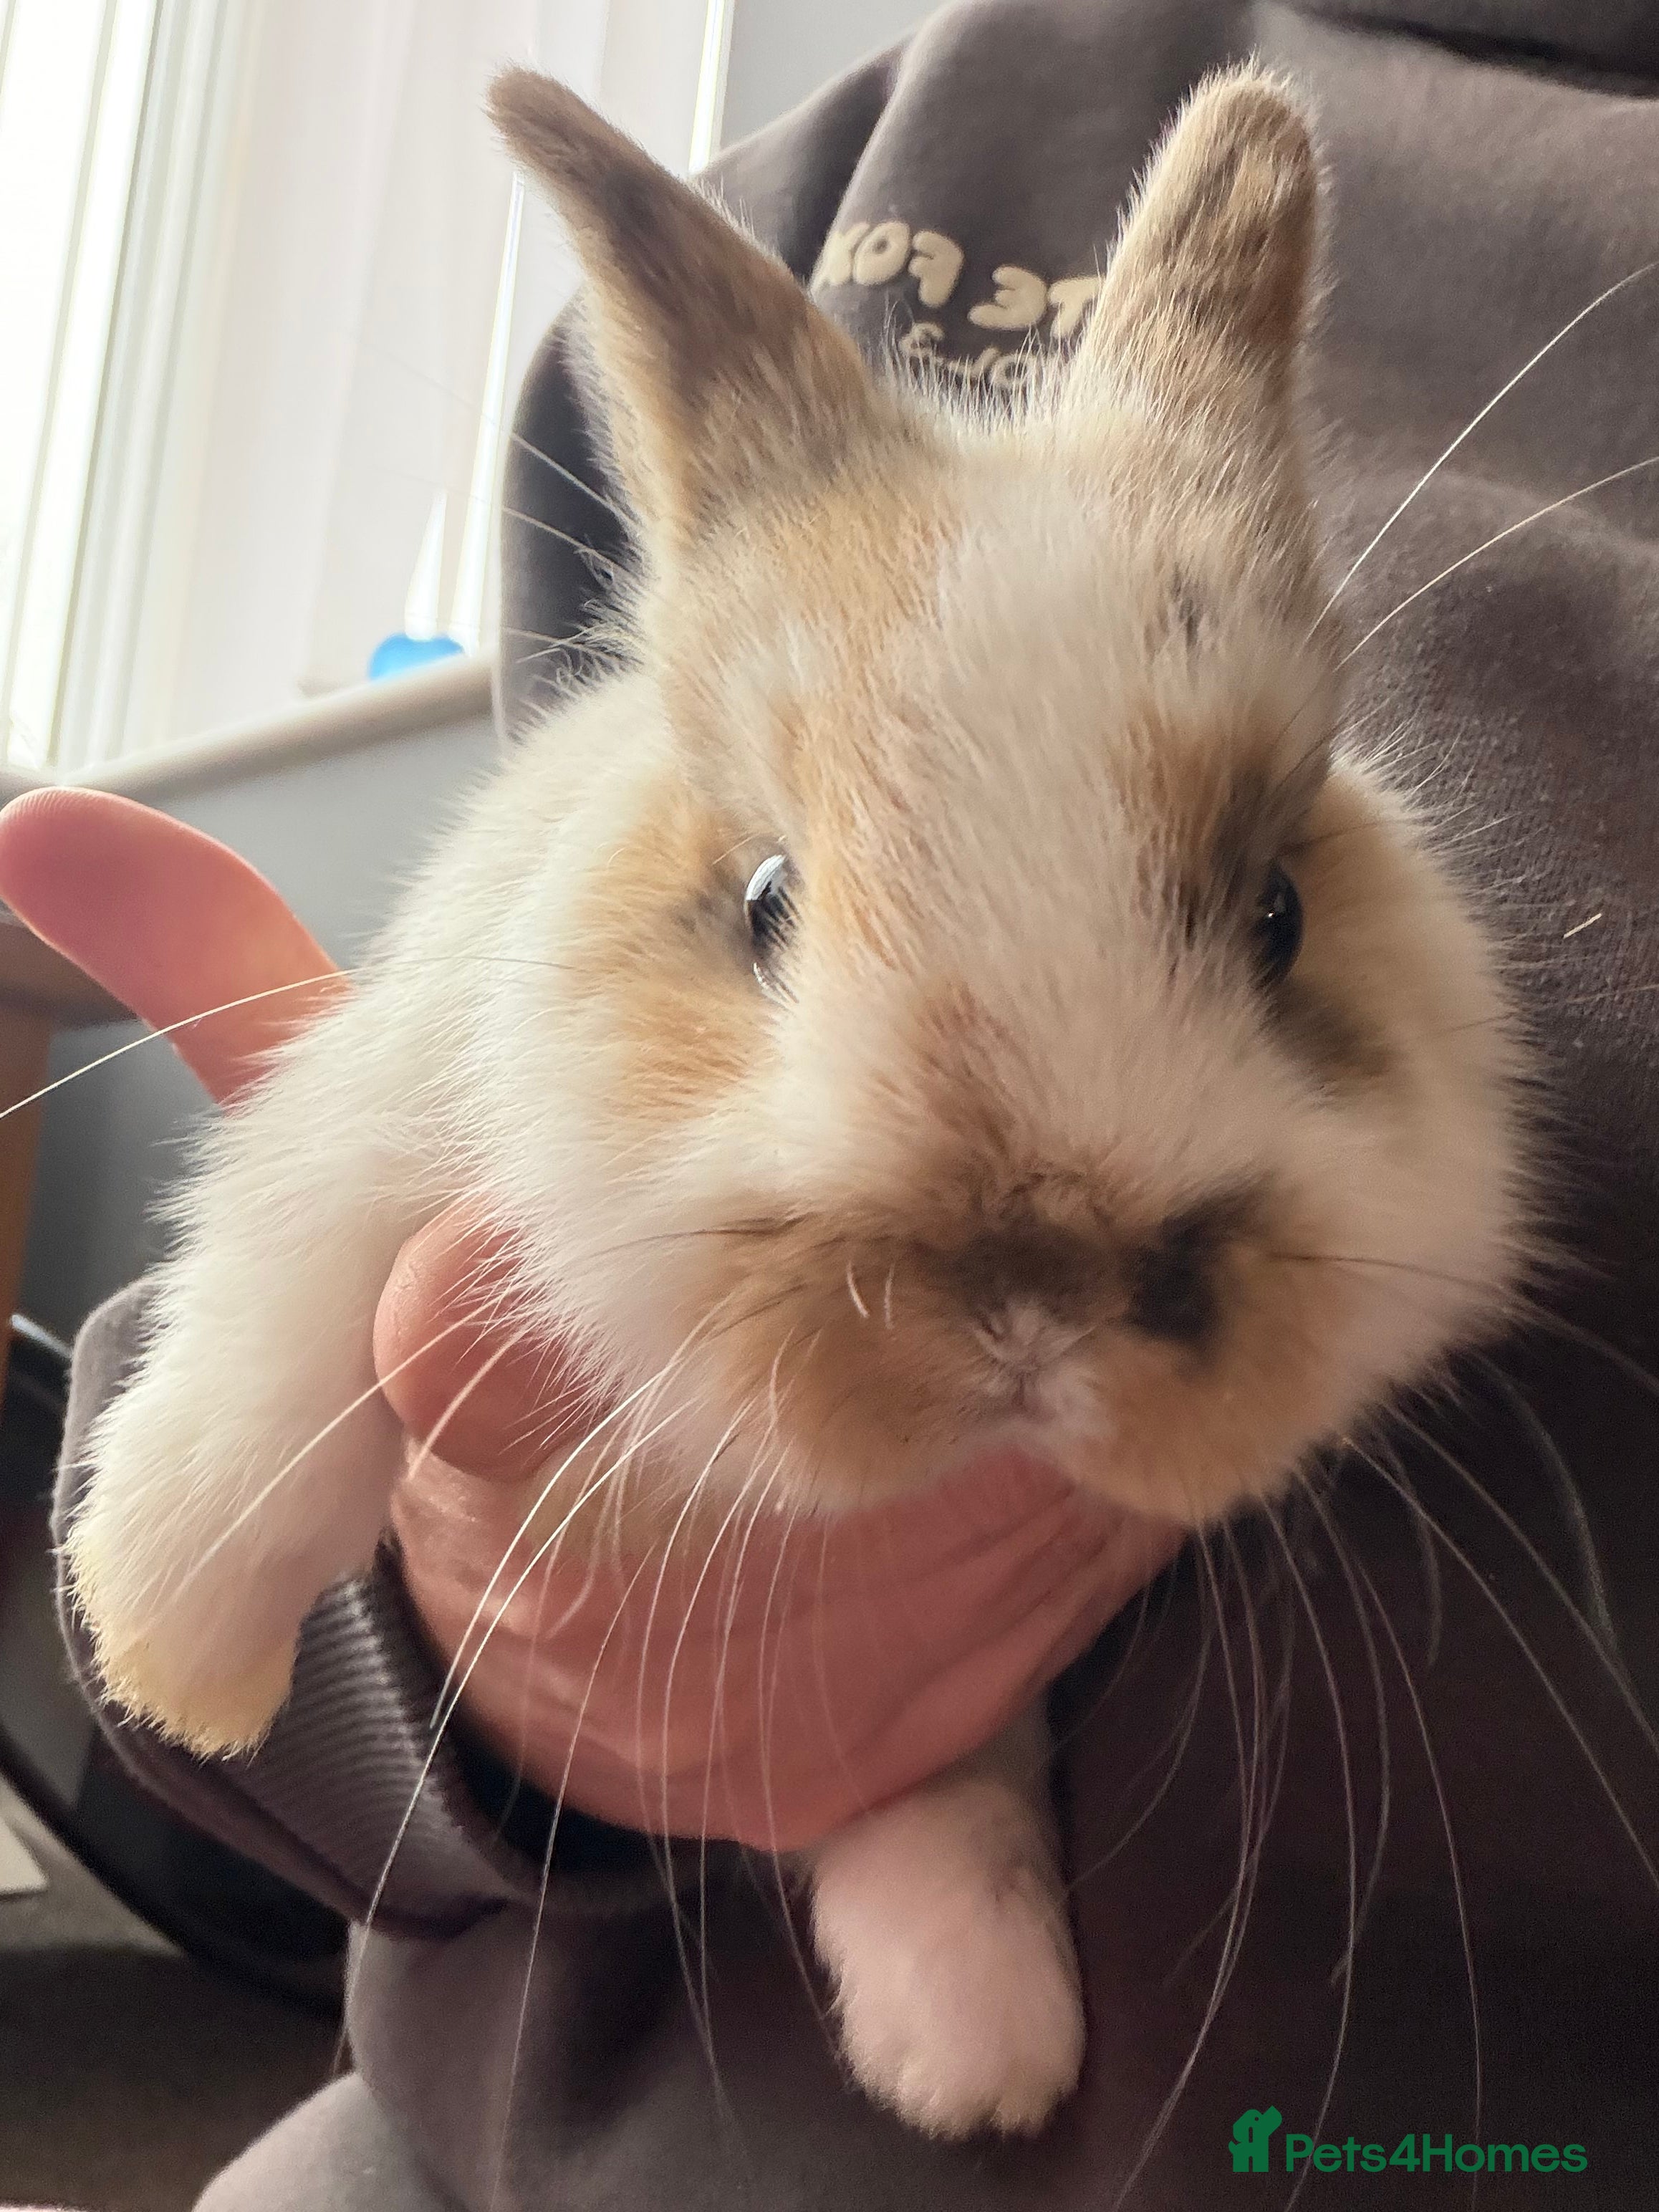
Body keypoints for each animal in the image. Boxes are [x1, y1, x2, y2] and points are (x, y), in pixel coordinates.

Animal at [63, 64, 1532, 2139]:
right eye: (764, 902)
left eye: (1278, 914)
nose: (1035, 1296)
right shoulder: (393, 1099)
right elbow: (282, 1325)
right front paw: (172, 1645)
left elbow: (935, 1780)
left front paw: (984, 2057)